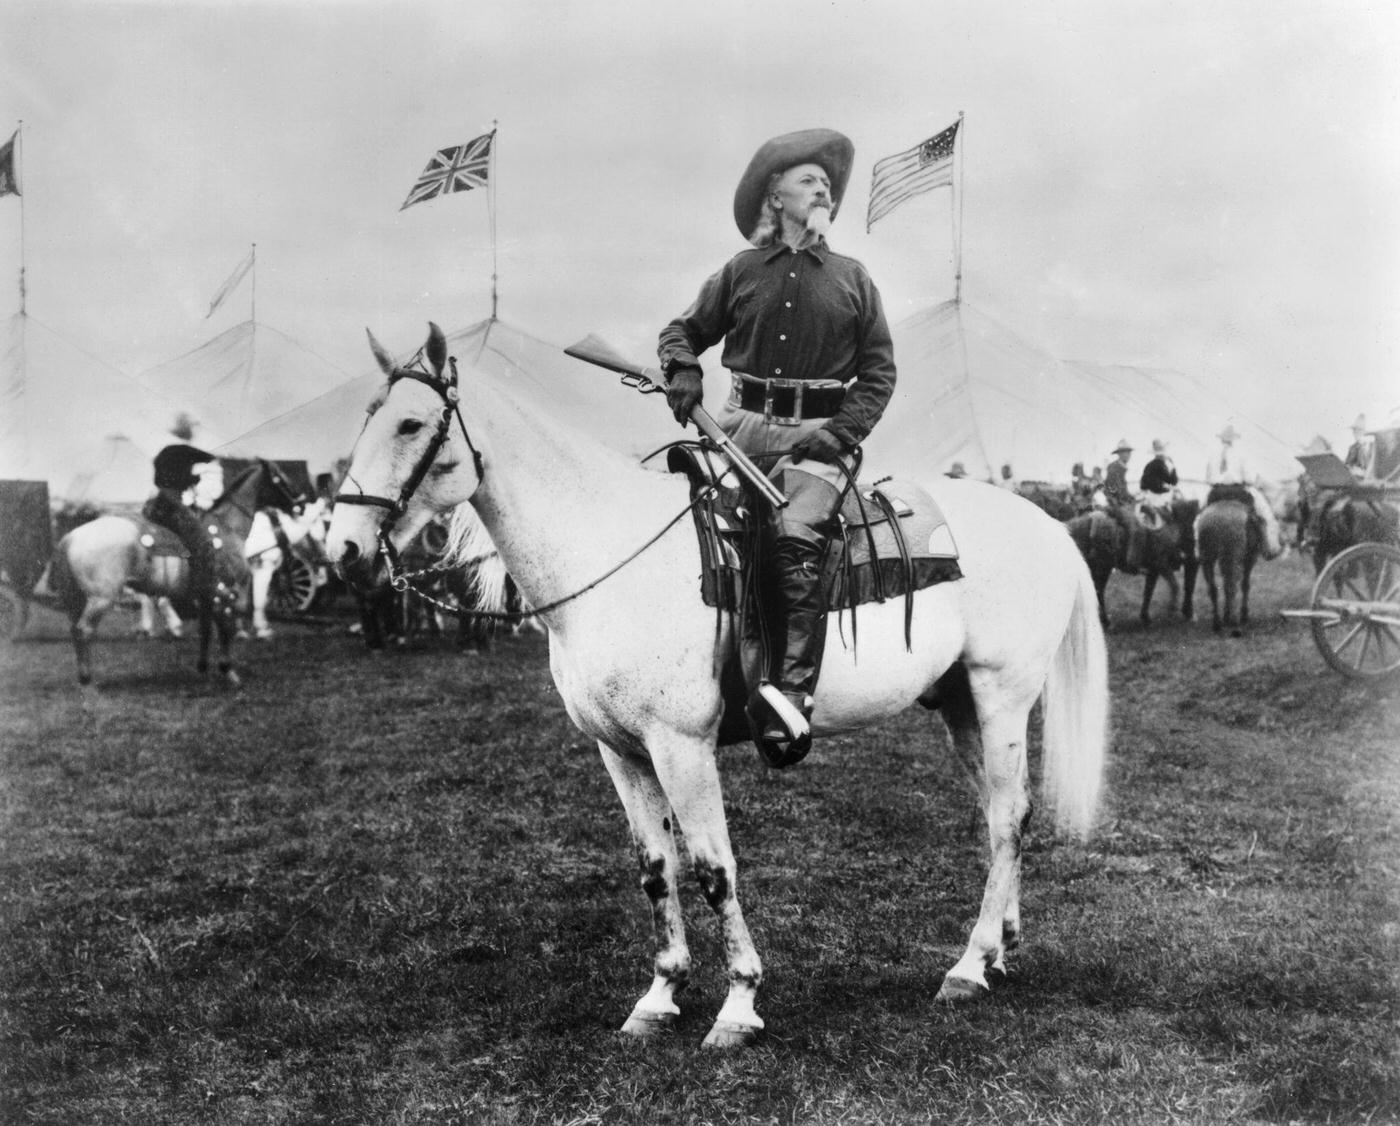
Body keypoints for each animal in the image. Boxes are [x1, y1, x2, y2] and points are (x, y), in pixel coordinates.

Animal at [50, 456, 305, 686]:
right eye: (280, 478)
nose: (301, 504)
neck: (227, 528)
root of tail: (71, 537)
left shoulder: (206, 597)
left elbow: (206, 631)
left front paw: (203, 668)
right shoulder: (227, 592)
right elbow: (226, 629)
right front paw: (229, 671)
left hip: (76, 599)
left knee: (75, 629)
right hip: (100, 599)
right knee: (84, 630)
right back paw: (87, 681)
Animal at [324, 323, 1103, 1047]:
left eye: (411, 424)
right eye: (366, 417)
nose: (344, 548)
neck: (606, 551)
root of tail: (1050, 525)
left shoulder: (682, 747)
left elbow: (711, 868)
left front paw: (739, 1003)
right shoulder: (621, 752)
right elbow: (655, 867)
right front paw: (660, 995)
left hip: (1001, 698)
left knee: (1006, 819)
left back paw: (968, 966)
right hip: (960, 705)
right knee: (1007, 812)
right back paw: (998, 950)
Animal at [1064, 498, 1198, 630]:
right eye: (1188, 520)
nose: (1192, 548)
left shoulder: (1153, 570)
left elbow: (1148, 592)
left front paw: (1146, 618)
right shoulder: (1161, 565)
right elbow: (1174, 585)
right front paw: (1171, 609)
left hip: (1101, 569)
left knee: (1097, 592)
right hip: (1101, 569)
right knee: (1097, 592)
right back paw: (1104, 623)